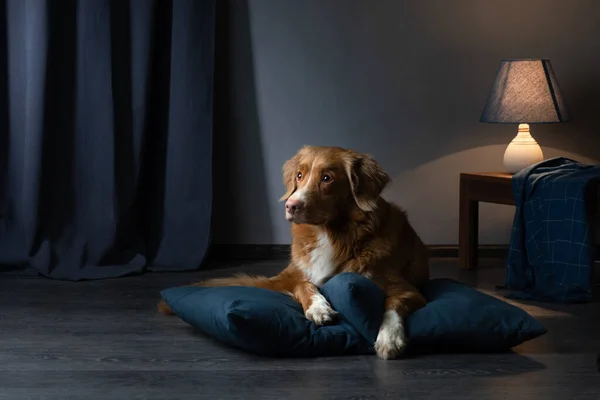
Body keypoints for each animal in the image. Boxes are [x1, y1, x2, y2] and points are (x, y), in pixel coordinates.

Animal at [158, 146, 432, 360]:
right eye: (299, 175)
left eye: (327, 178)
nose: (291, 206)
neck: (329, 234)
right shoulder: (296, 274)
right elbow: (304, 285)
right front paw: (318, 308)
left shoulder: (408, 290)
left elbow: (392, 304)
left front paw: (390, 339)